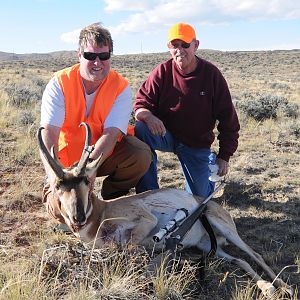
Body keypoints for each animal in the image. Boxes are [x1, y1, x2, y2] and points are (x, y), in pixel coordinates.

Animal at [37, 122, 292, 298]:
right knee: (240, 261)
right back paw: (267, 289)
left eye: (86, 182)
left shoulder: (145, 221)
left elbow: (130, 246)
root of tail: (209, 202)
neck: (102, 213)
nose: (78, 217)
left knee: (254, 254)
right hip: (210, 247)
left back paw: (284, 287)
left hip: (224, 229)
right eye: (58, 186)